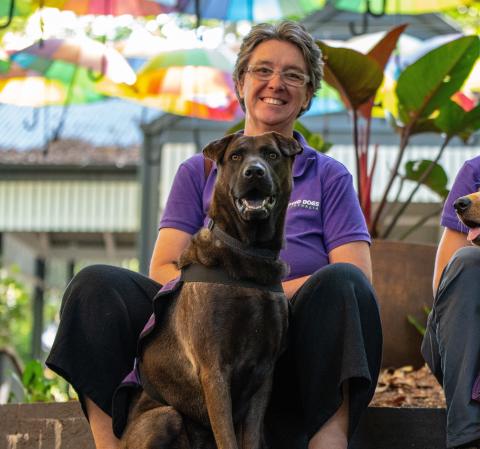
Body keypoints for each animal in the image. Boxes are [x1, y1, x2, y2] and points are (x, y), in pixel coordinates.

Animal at [120, 131, 300, 448]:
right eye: (236, 156)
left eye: (271, 155)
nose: (255, 172)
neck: (248, 252)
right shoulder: (214, 370)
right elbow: (227, 438)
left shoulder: (264, 375)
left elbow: (251, 438)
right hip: (165, 416)